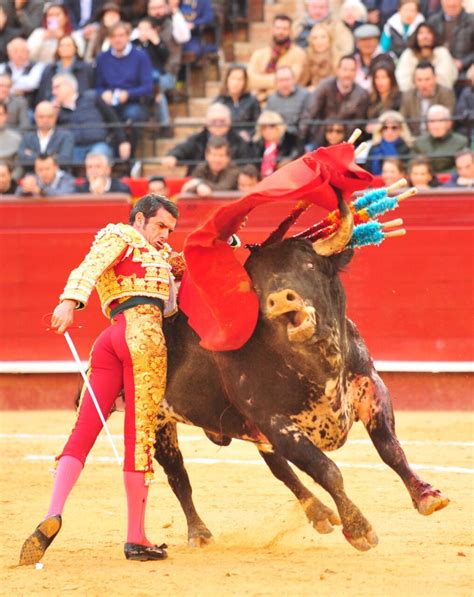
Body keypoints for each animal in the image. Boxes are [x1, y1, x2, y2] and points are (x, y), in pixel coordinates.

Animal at [154, 198, 450, 552]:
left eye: (308, 266)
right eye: (257, 285)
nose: (281, 298)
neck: (317, 362)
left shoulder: (371, 387)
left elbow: (390, 449)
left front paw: (427, 495)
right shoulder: (275, 422)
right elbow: (326, 469)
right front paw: (359, 528)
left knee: (278, 467)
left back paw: (319, 513)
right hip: (156, 419)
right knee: (177, 474)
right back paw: (199, 533)